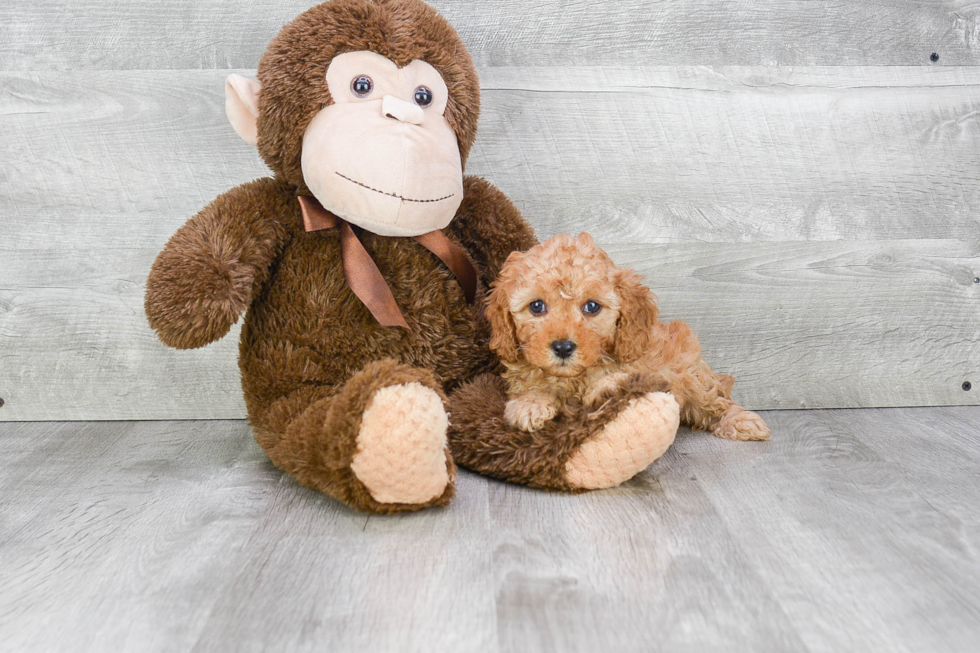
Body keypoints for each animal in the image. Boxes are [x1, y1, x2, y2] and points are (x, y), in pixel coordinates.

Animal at [486, 232, 768, 440]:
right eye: (536, 306)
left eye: (592, 306)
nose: (563, 347)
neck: (574, 378)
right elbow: (532, 385)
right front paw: (529, 404)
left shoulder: (651, 370)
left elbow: (621, 378)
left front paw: (602, 387)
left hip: (691, 371)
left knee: (715, 400)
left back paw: (742, 421)